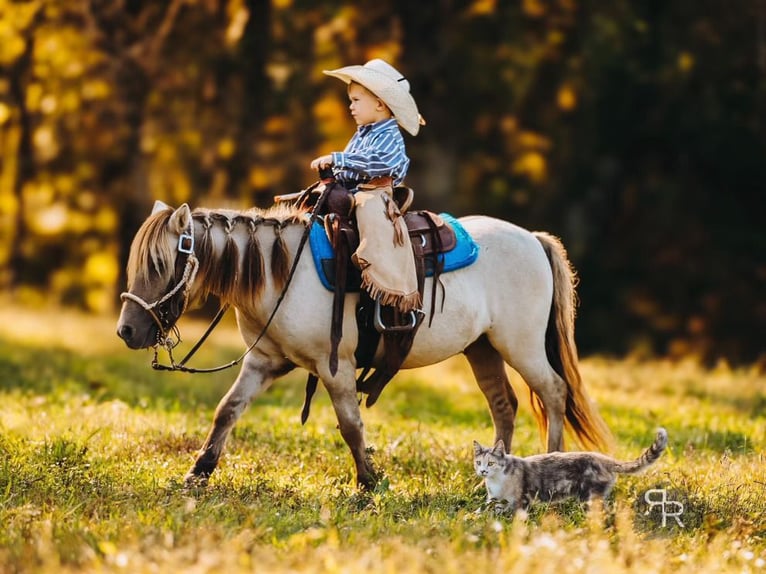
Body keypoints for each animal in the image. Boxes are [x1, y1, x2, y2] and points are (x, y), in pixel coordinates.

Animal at [116, 200, 613, 489]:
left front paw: (369, 482)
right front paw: (198, 472)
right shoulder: (263, 361)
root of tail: (533, 238)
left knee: (553, 392)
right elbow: (227, 410)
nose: (126, 332)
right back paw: (489, 480)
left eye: (160, 263)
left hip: (521, 344)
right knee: (504, 403)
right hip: (482, 346)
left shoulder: (333, 365)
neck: (282, 272)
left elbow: (351, 425)